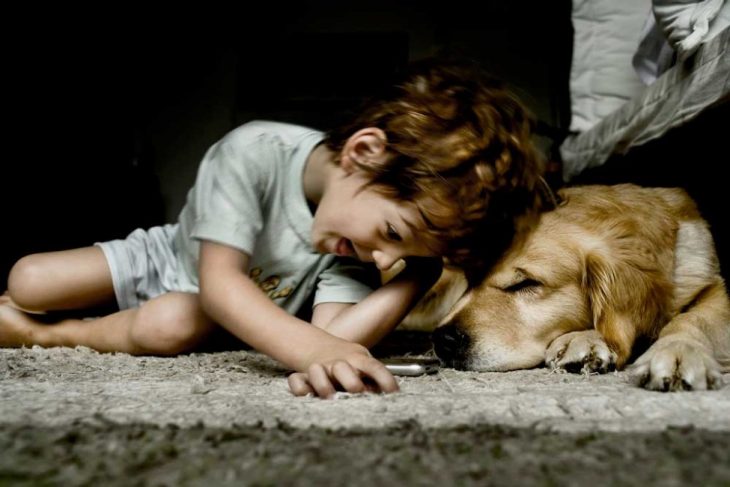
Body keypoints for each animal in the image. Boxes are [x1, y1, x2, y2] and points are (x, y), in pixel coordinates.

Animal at [418, 184, 724, 392]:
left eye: (525, 283)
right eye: (470, 279)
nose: (443, 340)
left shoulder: (711, 281)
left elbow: (695, 317)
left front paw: (677, 352)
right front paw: (584, 340)